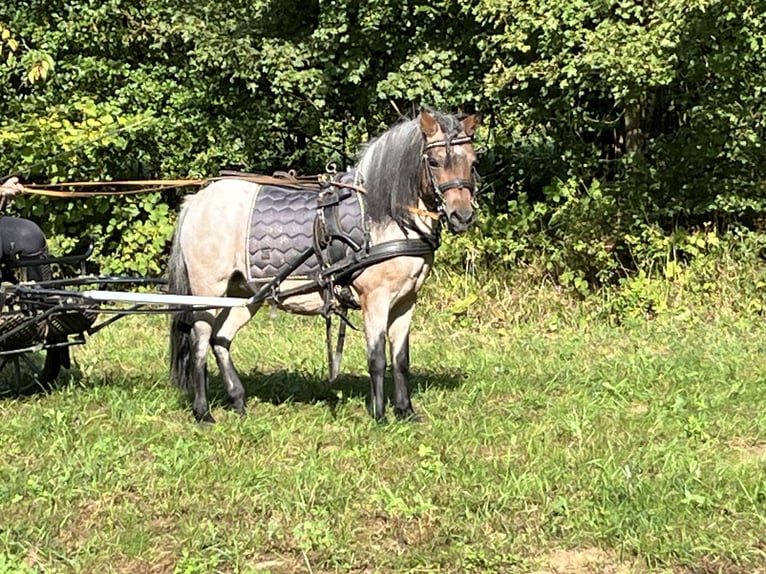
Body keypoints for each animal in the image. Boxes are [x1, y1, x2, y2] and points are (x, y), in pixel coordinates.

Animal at [169, 109, 480, 424]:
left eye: (472, 161)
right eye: (434, 161)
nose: (462, 216)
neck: (383, 217)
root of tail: (196, 201)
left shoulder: (406, 301)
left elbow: (401, 358)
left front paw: (406, 411)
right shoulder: (375, 299)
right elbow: (377, 358)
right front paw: (379, 416)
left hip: (245, 294)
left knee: (220, 338)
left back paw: (238, 400)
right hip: (208, 291)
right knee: (199, 343)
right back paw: (203, 412)